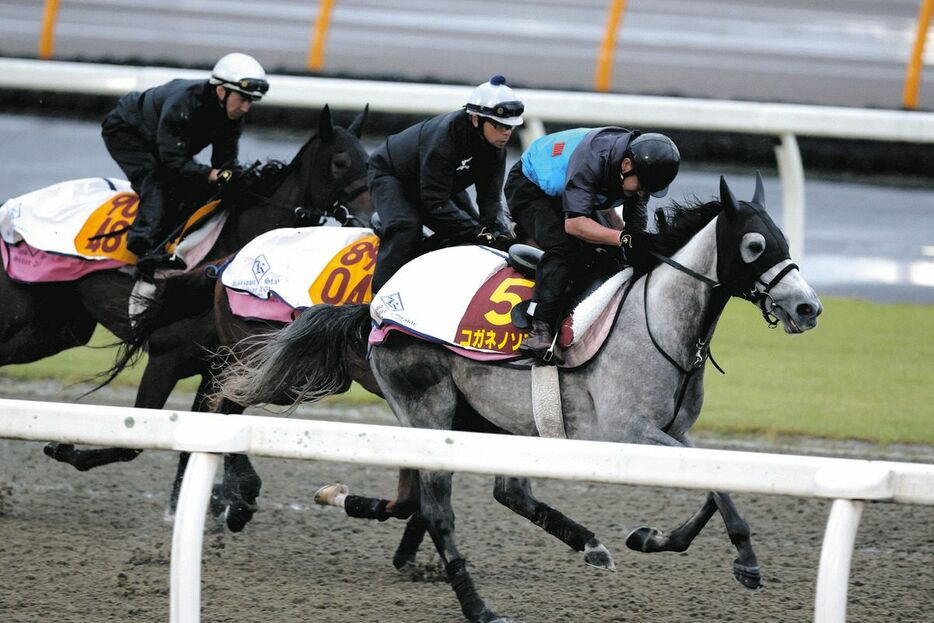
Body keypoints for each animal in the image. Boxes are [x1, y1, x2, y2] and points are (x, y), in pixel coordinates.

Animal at [218, 176, 820, 623]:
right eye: (755, 245)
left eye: (785, 242)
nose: (808, 308)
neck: (658, 322)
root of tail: (378, 303)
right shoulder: (624, 432)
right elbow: (718, 489)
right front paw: (747, 562)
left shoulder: (673, 431)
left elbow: (713, 486)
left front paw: (652, 538)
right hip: (429, 406)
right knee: (436, 509)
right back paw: (478, 606)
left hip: (494, 418)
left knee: (503, 491)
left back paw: (586, 544)